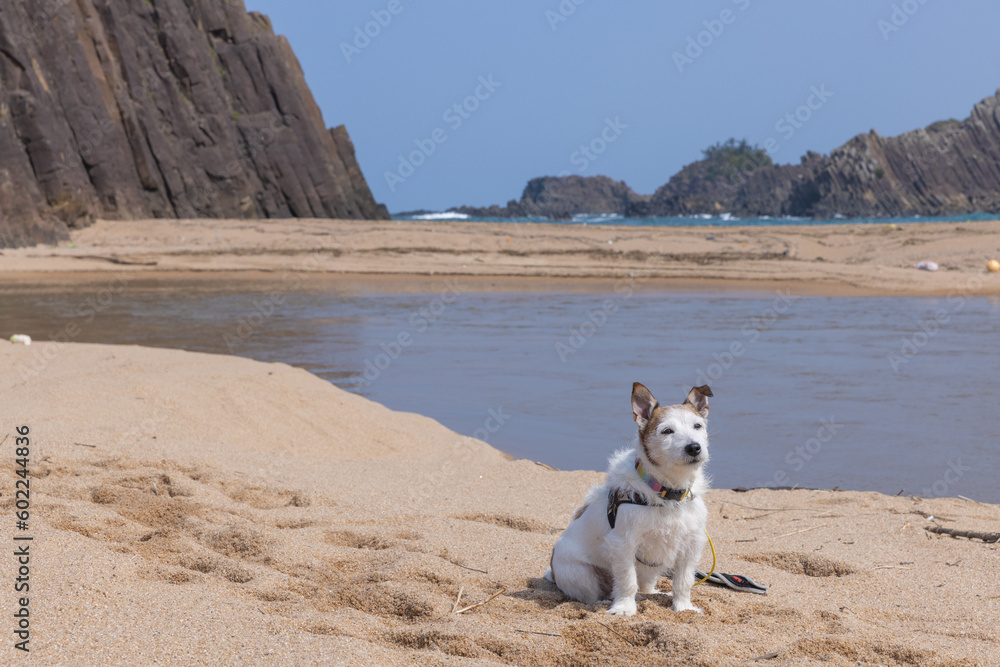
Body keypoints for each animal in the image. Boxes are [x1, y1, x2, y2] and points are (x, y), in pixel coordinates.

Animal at [544, 380, 716, 616]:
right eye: (667, 431)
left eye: (697, 426)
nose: (694, 447)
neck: (667, 493)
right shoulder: (623, 545)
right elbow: (627, 581)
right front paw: (624, 608)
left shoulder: (690, 544)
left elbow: (683, 581)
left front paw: (683, 607)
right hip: (582, 574)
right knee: (596, 593)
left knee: (645, 584)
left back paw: (652, 594)